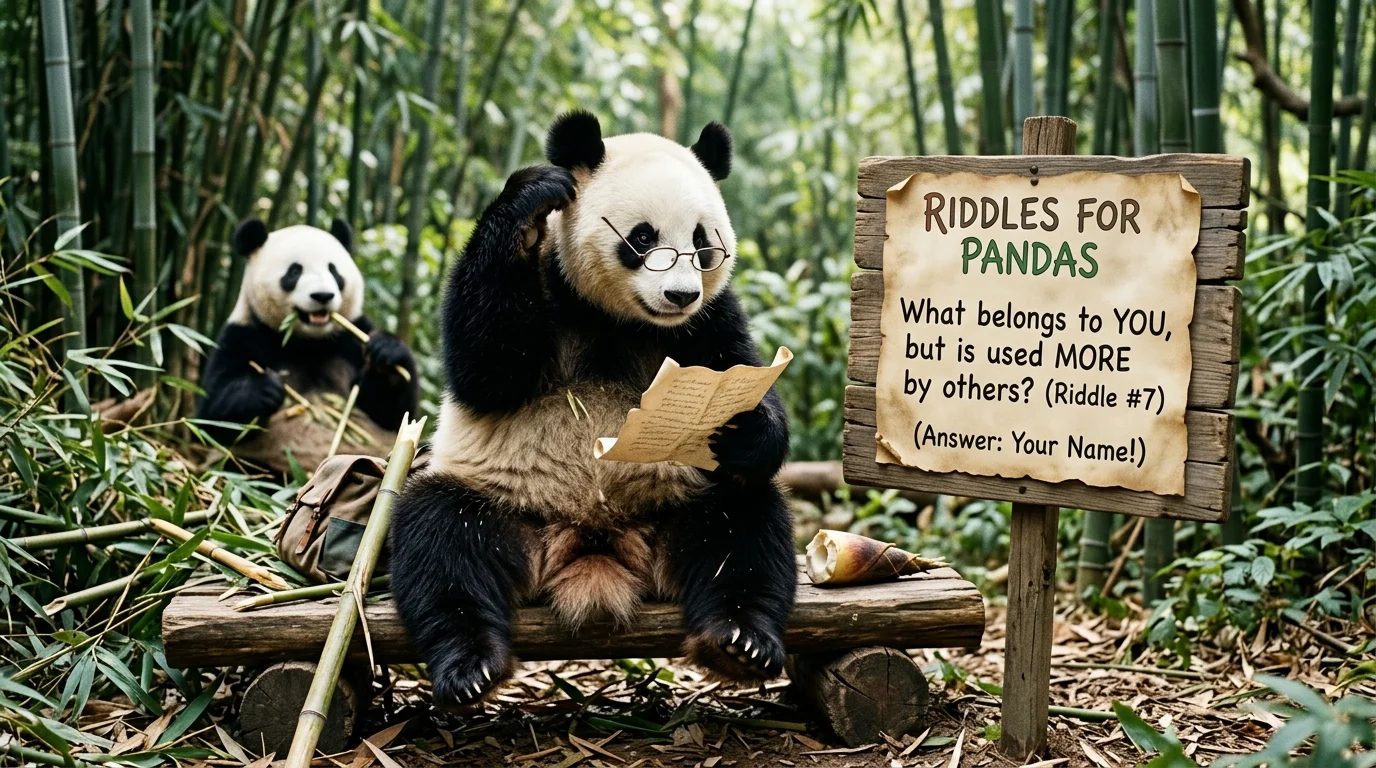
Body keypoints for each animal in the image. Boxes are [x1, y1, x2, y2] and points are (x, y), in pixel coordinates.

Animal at [196, 218, 420, 461]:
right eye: (294, 271)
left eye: (333, 270)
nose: (323, 296)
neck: (309, 341)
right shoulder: (243, 335)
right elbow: (212, 416)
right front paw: (263, 391)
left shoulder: (353, 336)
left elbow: (390, 414)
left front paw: (386, 356)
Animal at [389, 112, 796, 707]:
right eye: (644, 237)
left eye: (702, 242)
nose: (680, 295)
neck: (620, 317)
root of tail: (593, 543)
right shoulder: (551, 289)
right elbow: (486, 369)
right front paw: (530, 199)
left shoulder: (710, 319)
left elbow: (739, 371)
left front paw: (740, 429)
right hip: (509, 506)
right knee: (440, 535)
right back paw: (469, 665)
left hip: (677, 504)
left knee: (744, 522)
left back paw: (741, 640)